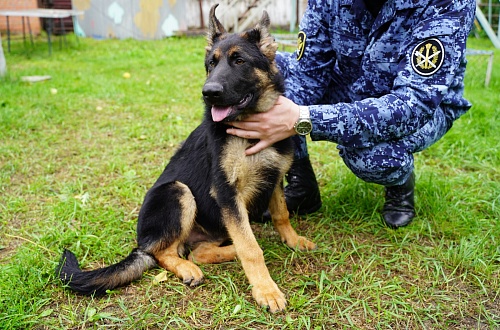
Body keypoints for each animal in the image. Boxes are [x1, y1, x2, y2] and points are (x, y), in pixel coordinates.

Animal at [57, 5, 316, 314]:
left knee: (200, 251)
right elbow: (250, 249)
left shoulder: (273, 178)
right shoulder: (227, 193)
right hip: (177, 192)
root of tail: (143, 241)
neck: (247, 125)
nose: (208, 92)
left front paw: (292, 240)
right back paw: (188, 267)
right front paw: (266, 290)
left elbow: (281, 215)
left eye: (239, 60)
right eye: (211, 64)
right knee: (163, 253)